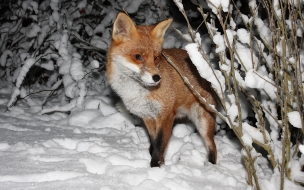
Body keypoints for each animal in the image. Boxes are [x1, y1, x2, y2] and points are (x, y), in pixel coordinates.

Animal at [107, 12, 216, 167]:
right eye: (137, 56)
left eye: (156, 57)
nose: (157, 78)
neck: (138, 92)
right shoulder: (148, 116)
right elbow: (154, 143)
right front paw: (159, 163)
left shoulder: (166, 115)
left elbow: (159, 145)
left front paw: (155, 167)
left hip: (203, 122)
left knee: (212, 147)